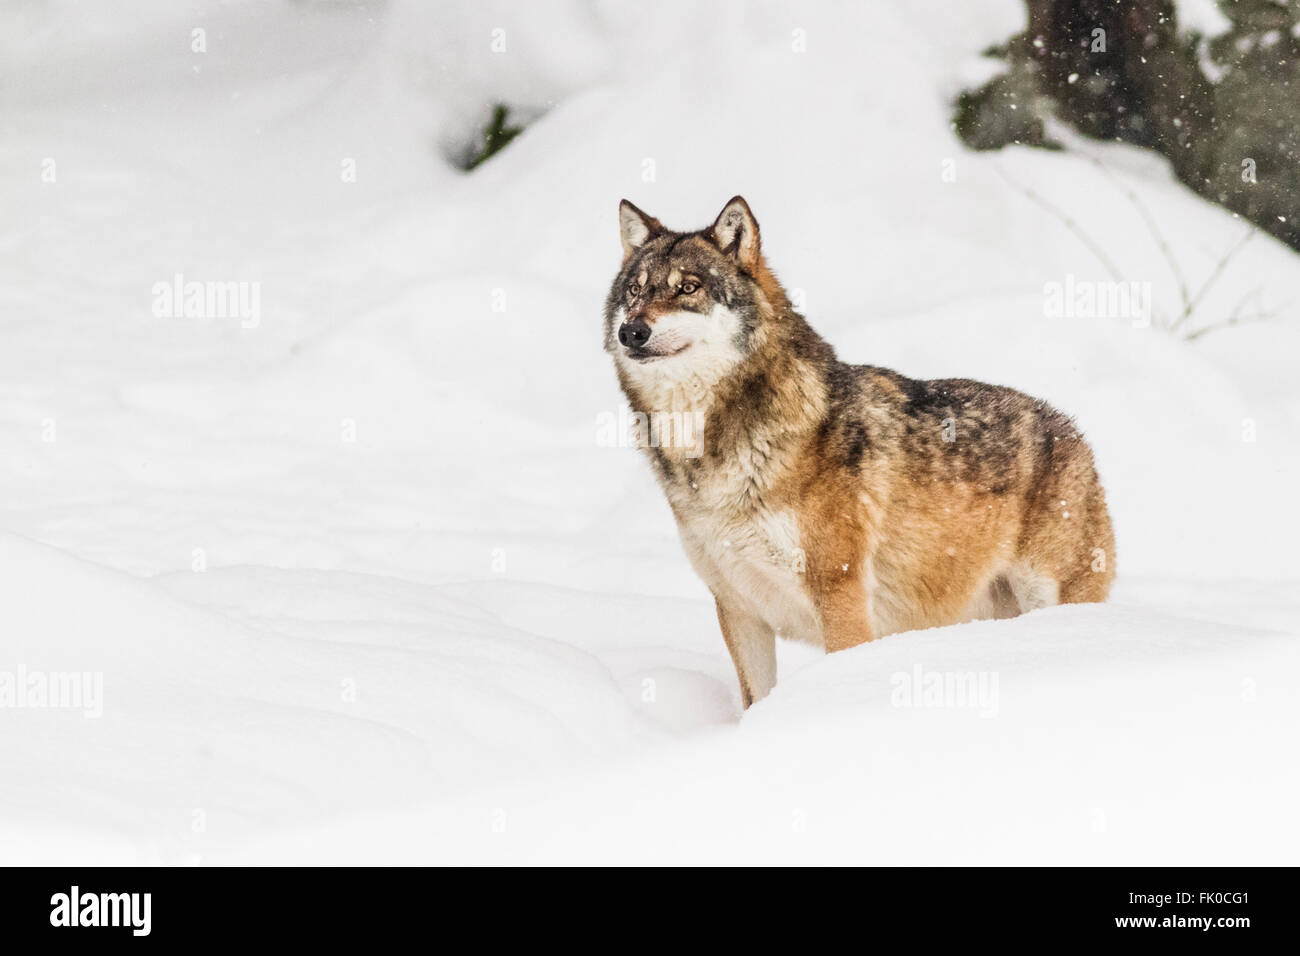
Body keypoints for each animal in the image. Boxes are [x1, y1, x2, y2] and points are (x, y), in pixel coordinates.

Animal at [603, 197, 1112, 707]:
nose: (632, 332)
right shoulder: (738, 607)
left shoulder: (839, 594)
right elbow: (755, 700)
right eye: (635, 290)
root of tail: (1072, 431)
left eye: (688, 287)